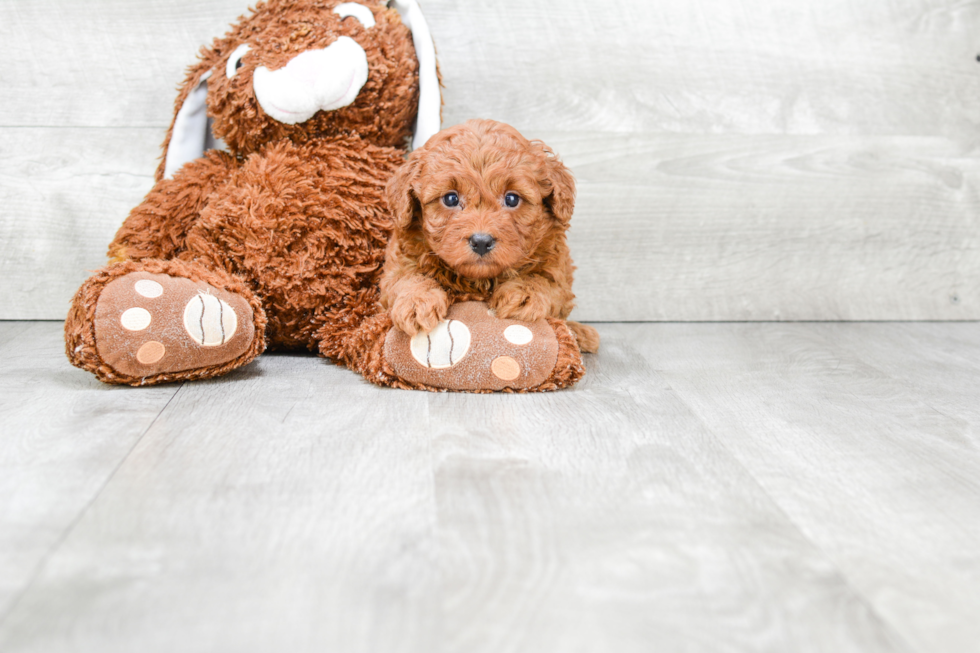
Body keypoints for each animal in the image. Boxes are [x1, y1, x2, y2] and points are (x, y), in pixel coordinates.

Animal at [380, 117, 596, 352]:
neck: (480, 281)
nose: (481, 242)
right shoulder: (399, 263)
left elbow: (545, 280)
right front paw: (417, 301)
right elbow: (407, 278)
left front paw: (523, 294)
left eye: (512, 199)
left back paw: (580, 333)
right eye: (450, 199)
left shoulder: (557, 267)